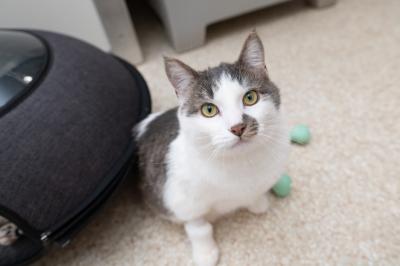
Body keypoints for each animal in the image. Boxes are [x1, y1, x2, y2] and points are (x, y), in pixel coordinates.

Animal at [134, 31, 288, 266]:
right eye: (209, 110)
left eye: (250, 97)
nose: (238, 127)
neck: (240, 165)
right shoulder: (181, 199)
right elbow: (198, 228)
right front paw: (206, 253)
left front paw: (258, 202)